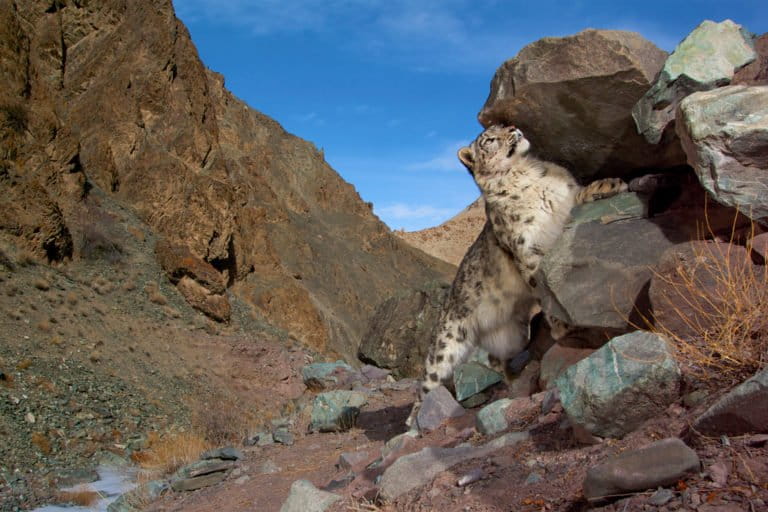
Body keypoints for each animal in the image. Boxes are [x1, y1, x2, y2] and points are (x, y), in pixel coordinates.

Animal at [404, 126, 628, 430]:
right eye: (489, 140)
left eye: (502, 125)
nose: (514, 130)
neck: (527, 174)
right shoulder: (526, 249)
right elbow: (541, 287)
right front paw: (562, 327)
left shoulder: (565, 202)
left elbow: (581, 193)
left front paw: (611, 184)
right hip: (445, 345)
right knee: (428, 382)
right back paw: (413, 423)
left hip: (514, 335)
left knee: (494, 358)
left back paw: (511, 380)